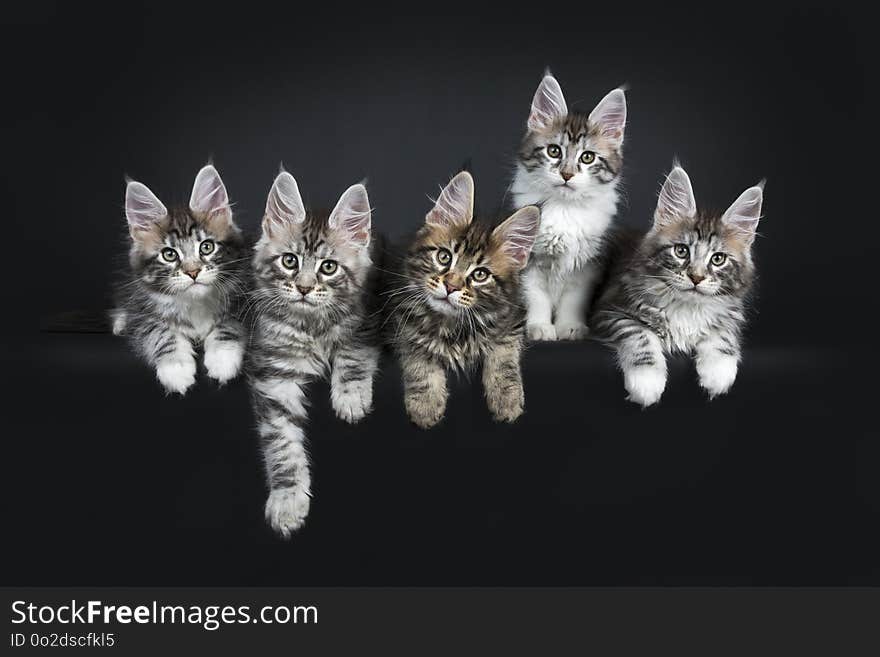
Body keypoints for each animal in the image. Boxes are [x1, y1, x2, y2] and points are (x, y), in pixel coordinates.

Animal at [112, 164, 248, 394]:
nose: (193, 272)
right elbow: (161, 333)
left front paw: (223, 359)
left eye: (206, 247)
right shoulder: (143, 318)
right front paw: (176, 369)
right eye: (169, 254)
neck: (195, 302)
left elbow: (228, 327)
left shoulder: (243, 301)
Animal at [248, 170, 378, 540]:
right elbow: (281, 446)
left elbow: (351, 355)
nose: (304, 288)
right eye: (289, 261)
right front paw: (287, 499)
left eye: (329, 267)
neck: (312, 326)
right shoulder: (273, 376)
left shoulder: (366, 325)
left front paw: (351, 398)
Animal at [386, 172, 544, 428]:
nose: (451, 286)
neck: (451, 324)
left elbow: (503, 355)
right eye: (444, 257)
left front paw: (507, 398)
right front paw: (425, 405)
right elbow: (419, 359)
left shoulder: (512, 319)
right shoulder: (401, 322)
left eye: (480, 275)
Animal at [508, 72, 624, 340]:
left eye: (587, 157)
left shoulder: (587, 265)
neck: (565, 209)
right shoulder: (530, 262)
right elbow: (536, 297)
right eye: (554, 151)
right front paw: (539, 326)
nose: (567, 174)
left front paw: (570, 326)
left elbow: (574, 300)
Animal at [592, 164, 764, 408]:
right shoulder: (610, 310)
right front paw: (647, 380)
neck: (687, 308)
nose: (696, 277)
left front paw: (718, 372)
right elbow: (640, 334)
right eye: (681, 251)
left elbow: (723, 335)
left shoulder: (729, 316)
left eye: (718, 259)